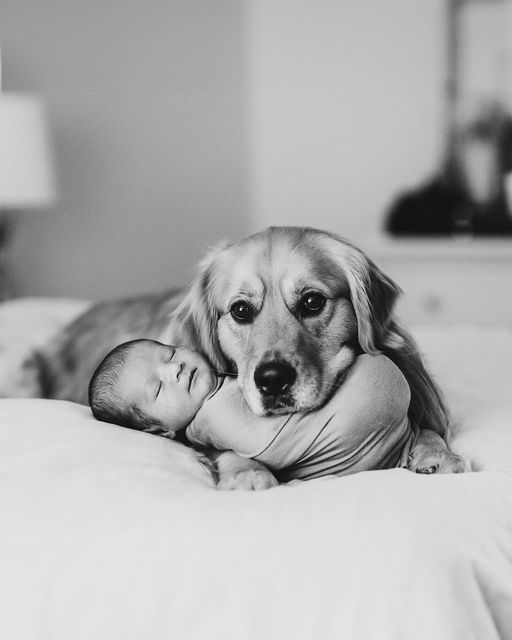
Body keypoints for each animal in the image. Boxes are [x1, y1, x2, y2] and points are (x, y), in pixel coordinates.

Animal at [33, 228, 468, 488]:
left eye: (312, 302)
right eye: (240, 310)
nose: (272, 380)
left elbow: (427, 427)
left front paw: (438, 452)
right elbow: (225, 447)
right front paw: (248, 472)